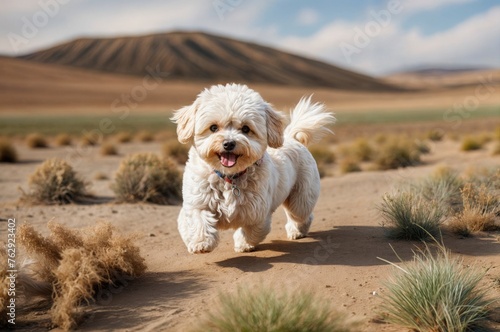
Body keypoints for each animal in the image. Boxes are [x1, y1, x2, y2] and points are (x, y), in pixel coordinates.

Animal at [172, 84, 336, 253]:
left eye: (245, 129)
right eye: (213, 127)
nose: (229, 143)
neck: (229, 177)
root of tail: (293, 138)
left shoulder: (257, 213)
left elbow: (251, 231)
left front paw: (243, 244)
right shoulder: (196, 203)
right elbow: (197, 220)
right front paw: (201, 242)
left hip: (300, 200)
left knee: (302, 215)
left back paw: (297, 231)